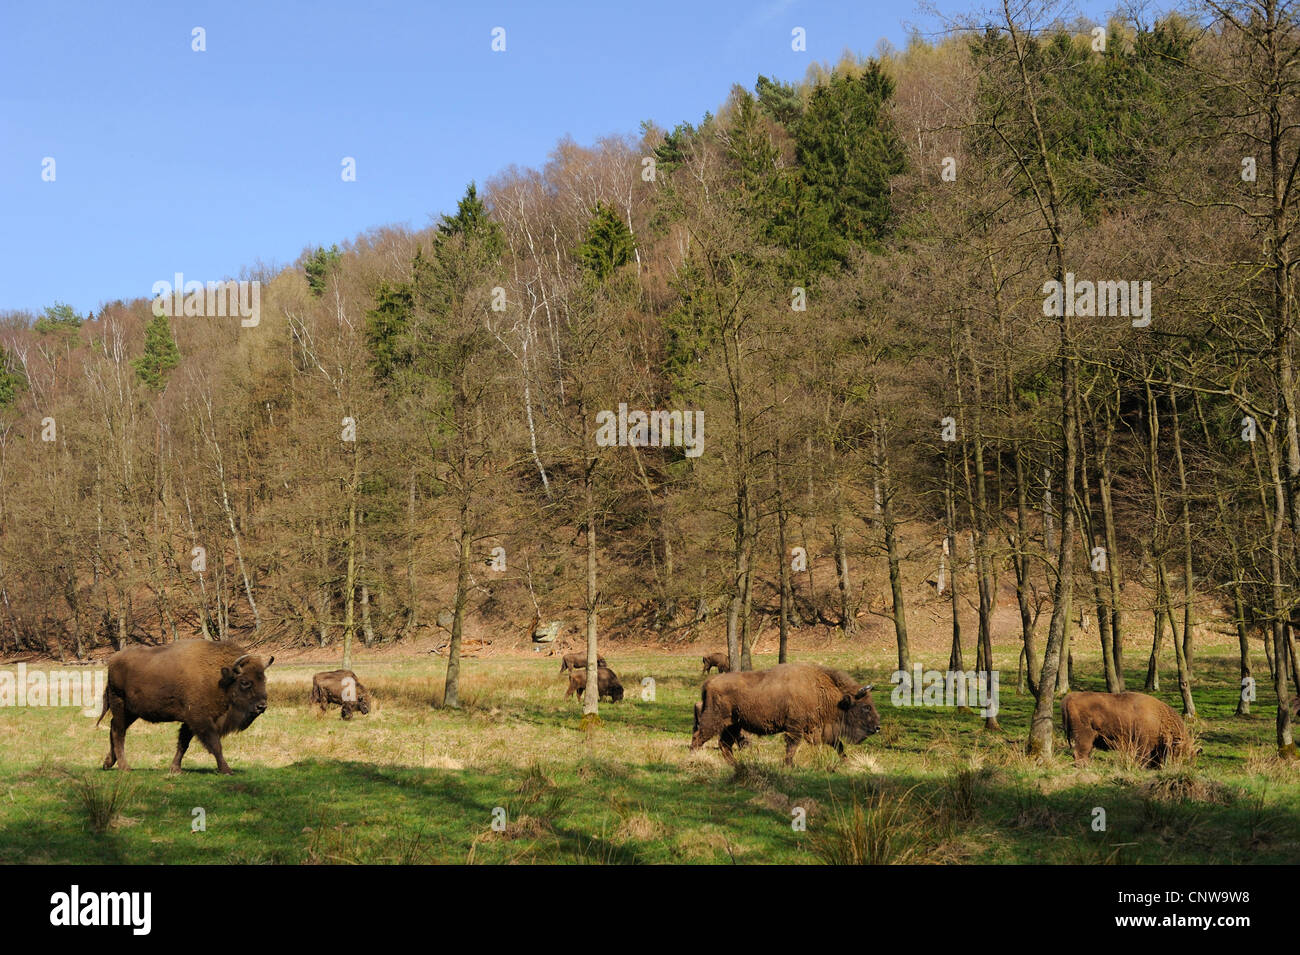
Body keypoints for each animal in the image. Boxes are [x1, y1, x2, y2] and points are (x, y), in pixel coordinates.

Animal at [96, 639, 274, 774]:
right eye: (245, 682)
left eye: (263, 679)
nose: (261, 706)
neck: (221, 678)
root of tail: (112, 661)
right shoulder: (200, 719)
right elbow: (215, 744)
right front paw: (226, 770)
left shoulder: (190, 722)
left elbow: (183, 744)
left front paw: (175, 769)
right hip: (120, 705)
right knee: (118, 732)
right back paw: (125, 767)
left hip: (132, 712)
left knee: (114, 729)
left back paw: (108, 763)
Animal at [686, 660, 878, 764]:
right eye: (866, 707)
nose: (877, 727)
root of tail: (709, 682)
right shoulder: (795, 728)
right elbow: (792, 746)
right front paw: (789, 765)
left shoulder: (821, 730)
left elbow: (838, 745)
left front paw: (845, 761)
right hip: (714, 722)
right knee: (698, 738)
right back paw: (693, 760)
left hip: (732, 725)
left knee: (724, 745)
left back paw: (735, 765)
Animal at [1060, 686, 1190, 769]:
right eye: (1178, 750)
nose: (1177, 765)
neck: (1159, 717)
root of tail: (1070, 696)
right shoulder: (1143, 743)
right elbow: (1143, 756)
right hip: (1085, 735)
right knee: (1080, 751)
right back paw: (1084, 766)